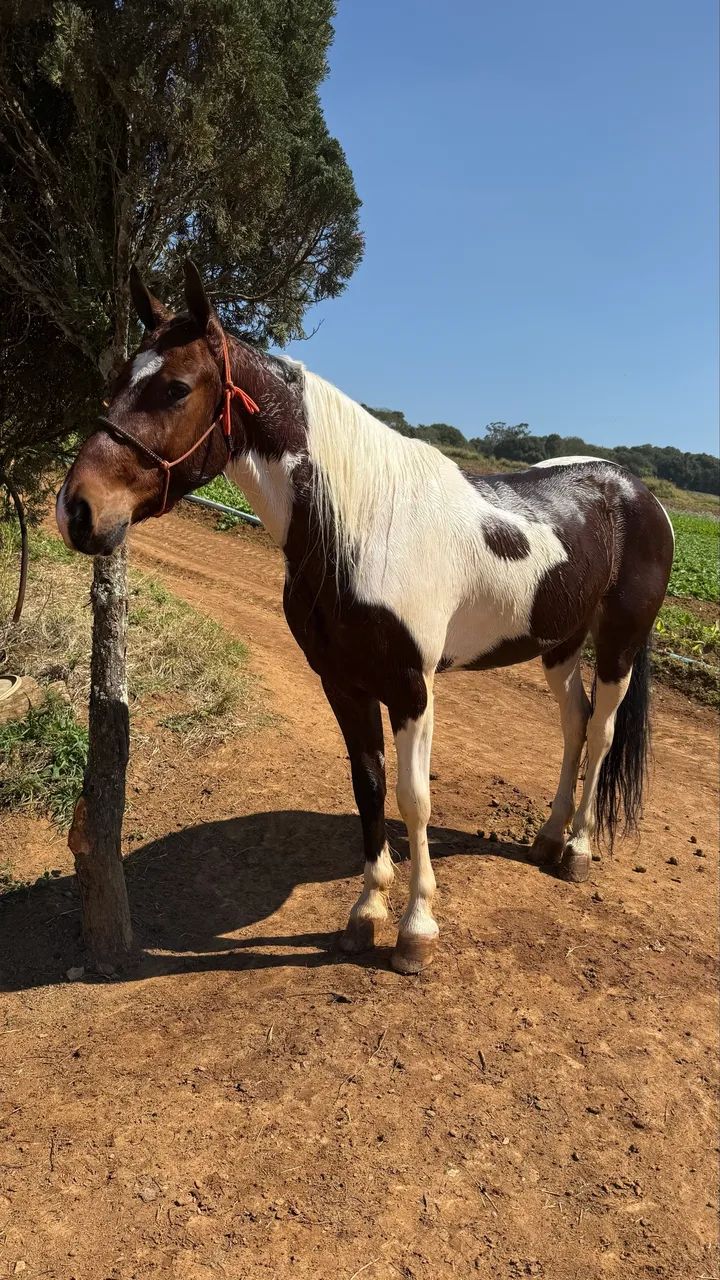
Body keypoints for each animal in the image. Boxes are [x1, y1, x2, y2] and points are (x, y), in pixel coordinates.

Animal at [57, 261, 675, 974]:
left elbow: (414, 798)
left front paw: (416, 931)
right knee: (574, 725)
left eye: (176, 388)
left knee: (600, 732)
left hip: (619, 642)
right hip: (558, 643)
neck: (364, 528)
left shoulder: (411, 688)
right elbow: (369, 788)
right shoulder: (344, 684)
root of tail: (635, 490)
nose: (77, 509)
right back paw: (547, 839)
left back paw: (576, 850)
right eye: (118, 380)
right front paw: (365, 916)